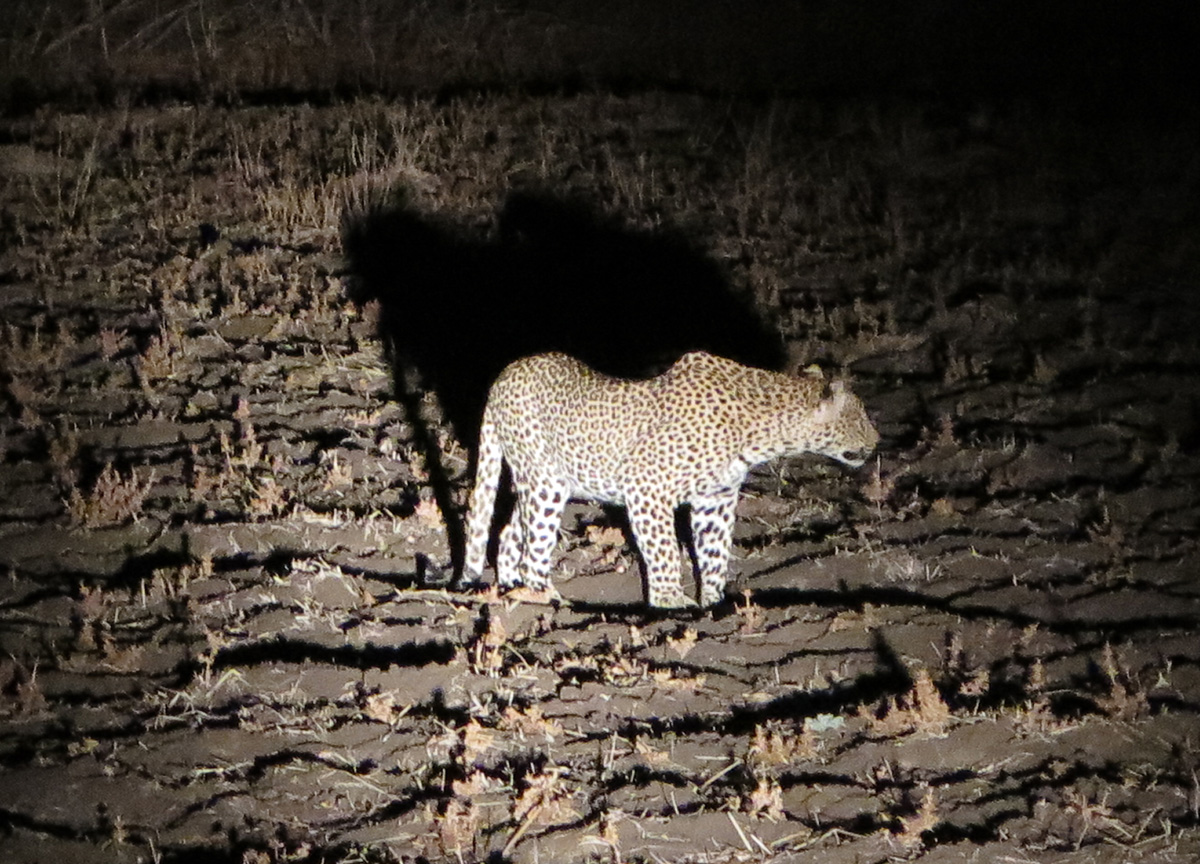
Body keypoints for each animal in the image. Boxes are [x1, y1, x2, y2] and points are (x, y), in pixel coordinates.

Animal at [462, 350, 879, 608]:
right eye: (860, 417)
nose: (877, 442)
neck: (760, 434)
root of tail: (506, 374)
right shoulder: (647, 488)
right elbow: (663, 551)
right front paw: (671, 604)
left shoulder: (716, 498)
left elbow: (714, 552)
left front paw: (714, 606)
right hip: (544, 483)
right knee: (535, 547)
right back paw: (546, 599)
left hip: (544, 482)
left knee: (509, 532)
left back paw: (511, 588)